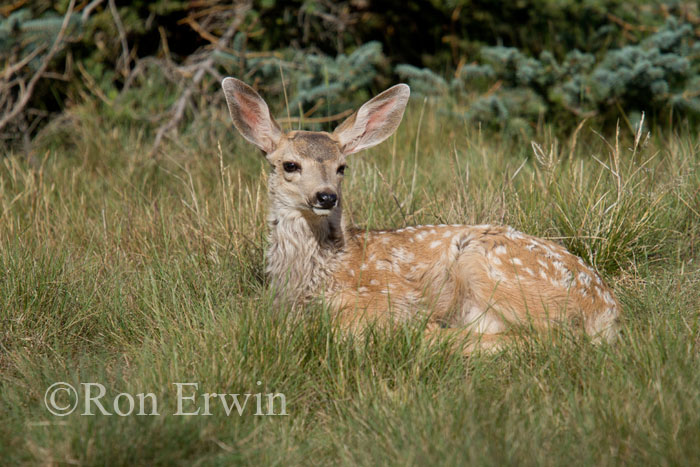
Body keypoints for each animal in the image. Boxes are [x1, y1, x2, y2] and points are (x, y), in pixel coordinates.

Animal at [221, 77, 620, 353]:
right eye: (290, 165)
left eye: (342, 167)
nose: (326, 197)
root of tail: (606, 308)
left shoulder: (382, 298)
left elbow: (347, 328)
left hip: (489, 265)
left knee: (555, 337)